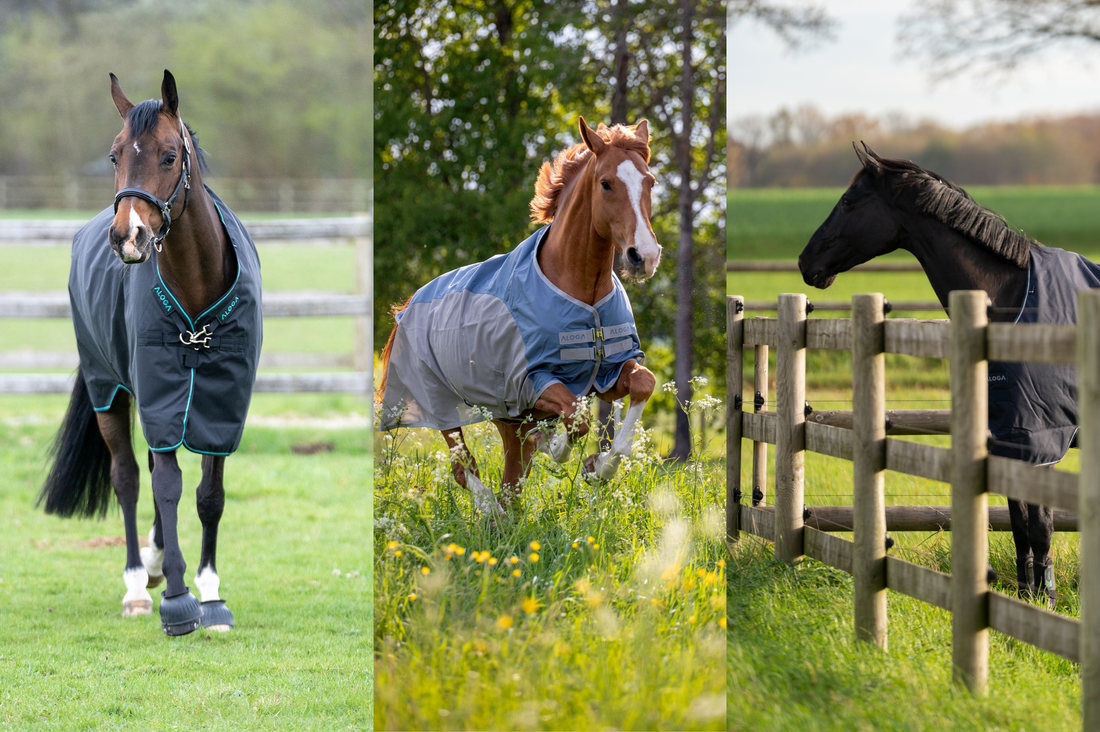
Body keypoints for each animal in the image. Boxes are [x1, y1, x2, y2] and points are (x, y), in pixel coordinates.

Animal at [37, 70, 263, 635]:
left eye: (168, 155)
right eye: (115, 154)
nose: (128, 236)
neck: (197, 301)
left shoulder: (221, 406)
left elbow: (208, 496)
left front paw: (211, 595)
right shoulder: (159, 395)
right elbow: (166, 486)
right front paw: (180, 600)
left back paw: (157, 564)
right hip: (109, 390)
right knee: (130, 478)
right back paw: (140, 585)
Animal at [378, 118, 661, 516]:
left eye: (649, 181)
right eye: (606, 183)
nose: (644, 257)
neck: (582, 293)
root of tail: (407, 305)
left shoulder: (606, 372)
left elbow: (643, 383)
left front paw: (599, 467)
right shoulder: (532, 382)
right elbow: (577, 419)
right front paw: (556, 447)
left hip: (505, 417)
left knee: (512, 474)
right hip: (443, 404)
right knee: (465, 467)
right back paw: (491, 511)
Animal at [797, 143, 1100, 605]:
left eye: (848, 201)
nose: (805, 262)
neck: (1012, 298)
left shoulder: (1040, 440)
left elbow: (1041, 527)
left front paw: (1045, 600)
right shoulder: (1008, 438)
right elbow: (1019, 524)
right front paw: (1025, 595)